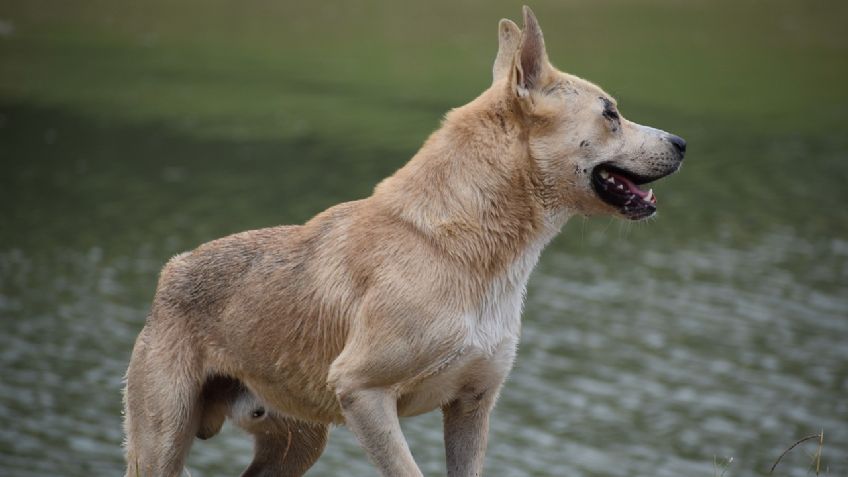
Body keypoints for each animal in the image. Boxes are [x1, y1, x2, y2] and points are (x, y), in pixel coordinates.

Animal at [122, 5, 684, 474]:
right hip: (162, 442)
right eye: (610, 114)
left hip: (298, 443)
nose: (681, 143)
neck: (466, 248)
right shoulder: (362, 392)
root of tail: (171, 270)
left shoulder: (472, 406)